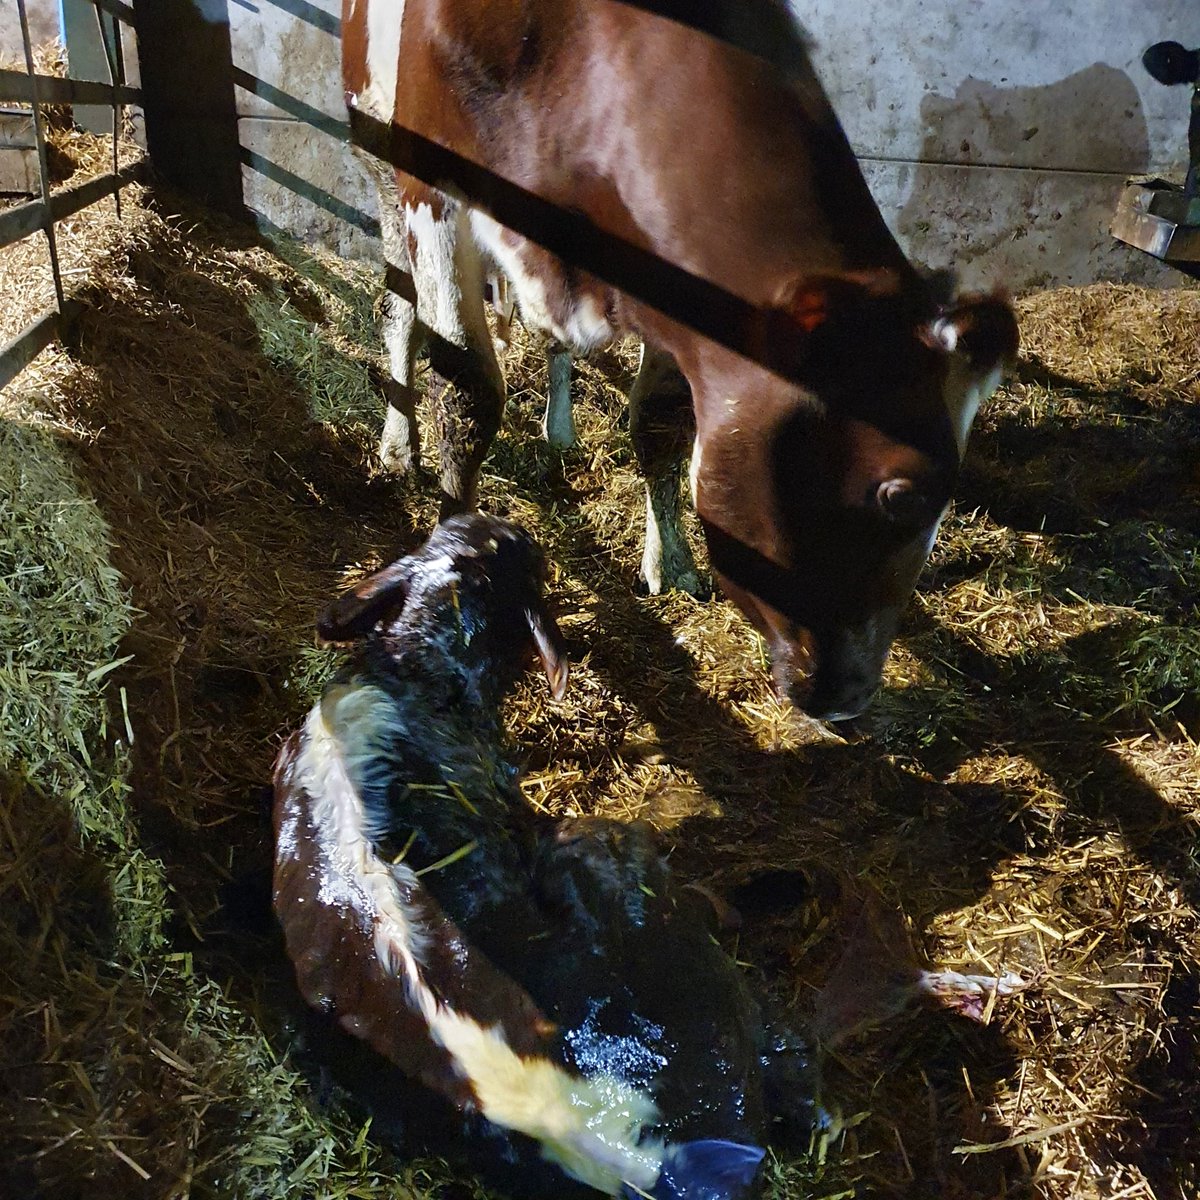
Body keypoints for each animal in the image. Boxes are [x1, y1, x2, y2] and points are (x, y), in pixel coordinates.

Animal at [341, 0, 1019, 721]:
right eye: (902, 495)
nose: (849, 699)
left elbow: (661, 422)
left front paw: (671, 561)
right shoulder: (432, 186)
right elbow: (467, 389)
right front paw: (452, 557)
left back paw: (559, 429)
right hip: (378, 158)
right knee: (399, 308)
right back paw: (396, 444)